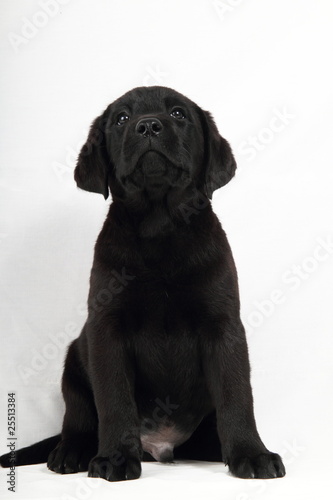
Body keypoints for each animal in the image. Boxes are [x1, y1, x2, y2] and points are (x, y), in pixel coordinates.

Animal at [0, 85, 286, 480]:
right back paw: (71, 452)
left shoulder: (223, 325)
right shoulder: (107, 329)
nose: (148, 125)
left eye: (179, 113)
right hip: (73, 366)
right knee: (78, 419)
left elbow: (236, 394)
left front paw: (252, 453)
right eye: (122, 118)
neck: (159, 225)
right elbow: (114, 399)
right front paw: (115, 458)